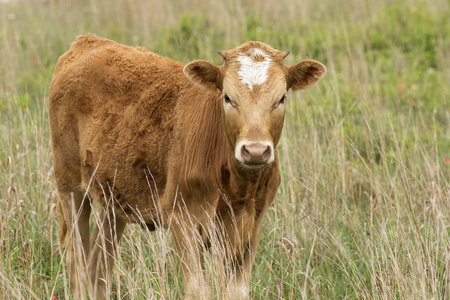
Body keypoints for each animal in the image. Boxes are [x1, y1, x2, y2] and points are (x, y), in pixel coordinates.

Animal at [49, 34, 326, 298]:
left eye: (281, 98)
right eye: (227, 97)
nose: (255, 150)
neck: (237, 188)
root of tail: (88, 41)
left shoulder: (251, 224)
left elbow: (236, 291)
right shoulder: (183, 220)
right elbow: (198, 290)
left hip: (114, 200)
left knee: (98, 265)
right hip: (69, 188)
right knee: (78, 265)